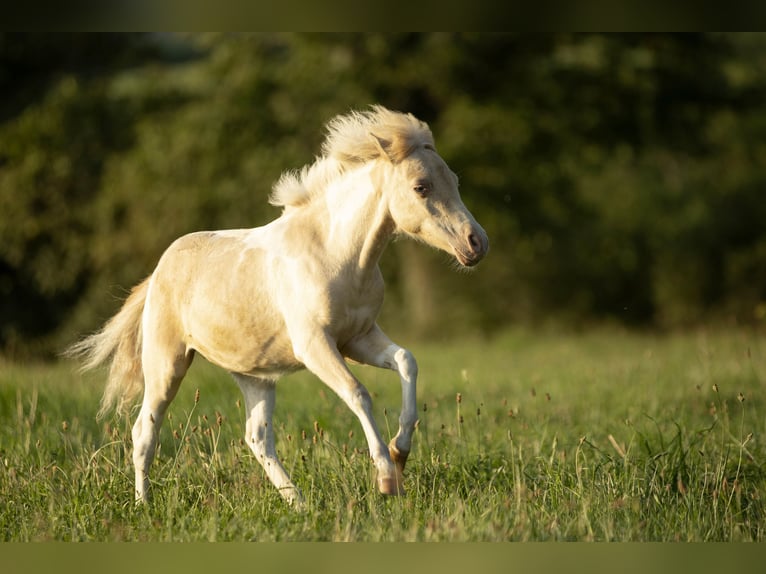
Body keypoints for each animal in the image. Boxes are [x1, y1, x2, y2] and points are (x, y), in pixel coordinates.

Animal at [70, 106, 492, 506]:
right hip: (166, 362)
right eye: (421, 187)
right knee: (145, 430)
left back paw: (299, 503)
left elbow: (407, 360)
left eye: (454, 181)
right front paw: (387, 478)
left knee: (257, 438)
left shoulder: (357, 339)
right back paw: (144, 505)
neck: (337, 254)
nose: (477, 243)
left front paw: (400, 453)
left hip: (254, 376)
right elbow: (357, 393)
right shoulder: (316, 345)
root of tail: (158, 271)